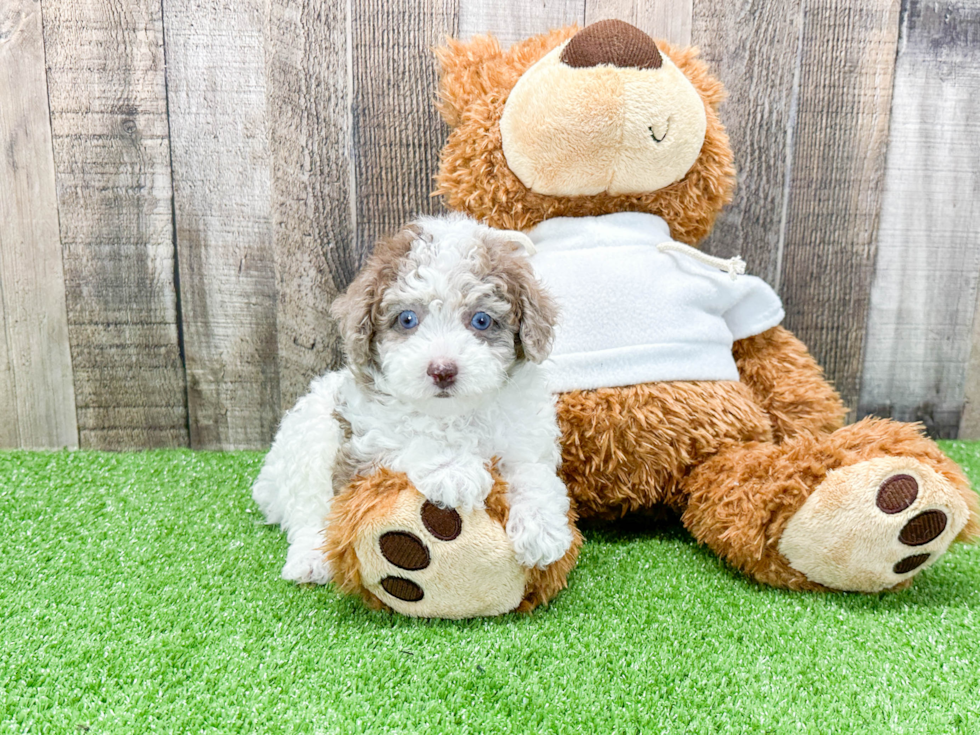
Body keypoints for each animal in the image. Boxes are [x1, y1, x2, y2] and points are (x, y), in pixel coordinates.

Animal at [253, 214, 576, 588]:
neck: (454, 413)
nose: (442, 370)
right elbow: (409, 438)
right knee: (308, 511)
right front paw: (452, 470)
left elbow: (533, 473)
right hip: (308, 440)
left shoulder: (525, 435)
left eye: (481, 320)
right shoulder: (368, 439)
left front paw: (542, 528)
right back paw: (310, 558)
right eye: (407, 319)